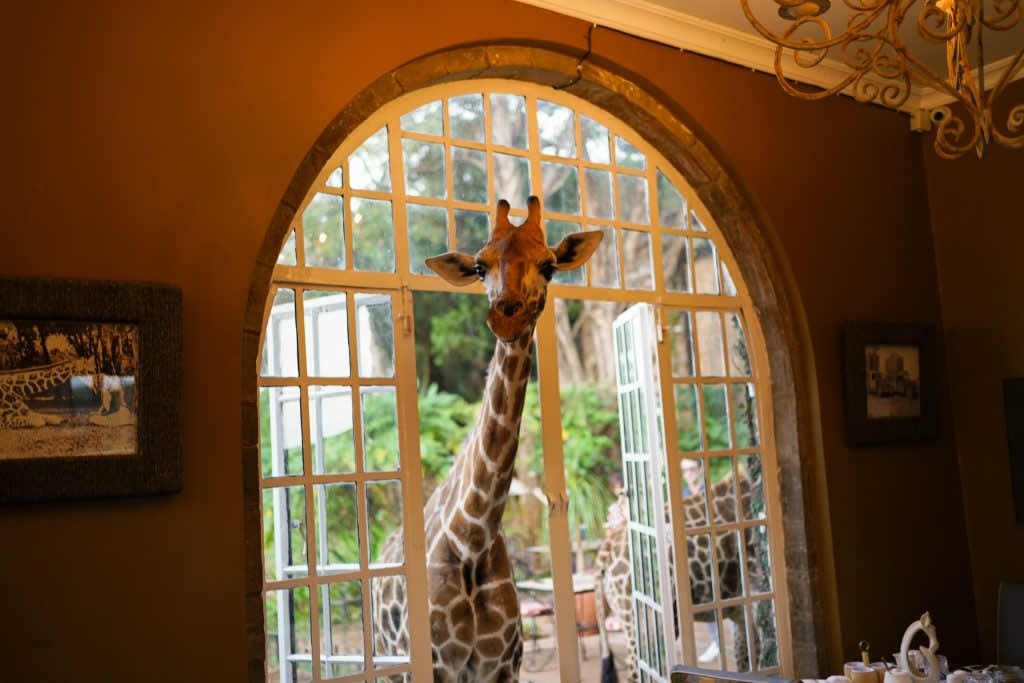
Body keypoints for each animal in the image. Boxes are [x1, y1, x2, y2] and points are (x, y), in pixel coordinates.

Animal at [371, 196, 603, 682]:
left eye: (549, 266)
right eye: (480, 266)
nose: (505, 313)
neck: (472, 537)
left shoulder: (501, 666)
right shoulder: (437, 666)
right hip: (391, 663)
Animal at [595, 463, 773, 682]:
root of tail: (607, 546)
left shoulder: (741, 613)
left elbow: (744, 666)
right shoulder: (759, 601)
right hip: (647, 623)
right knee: (636, 674)